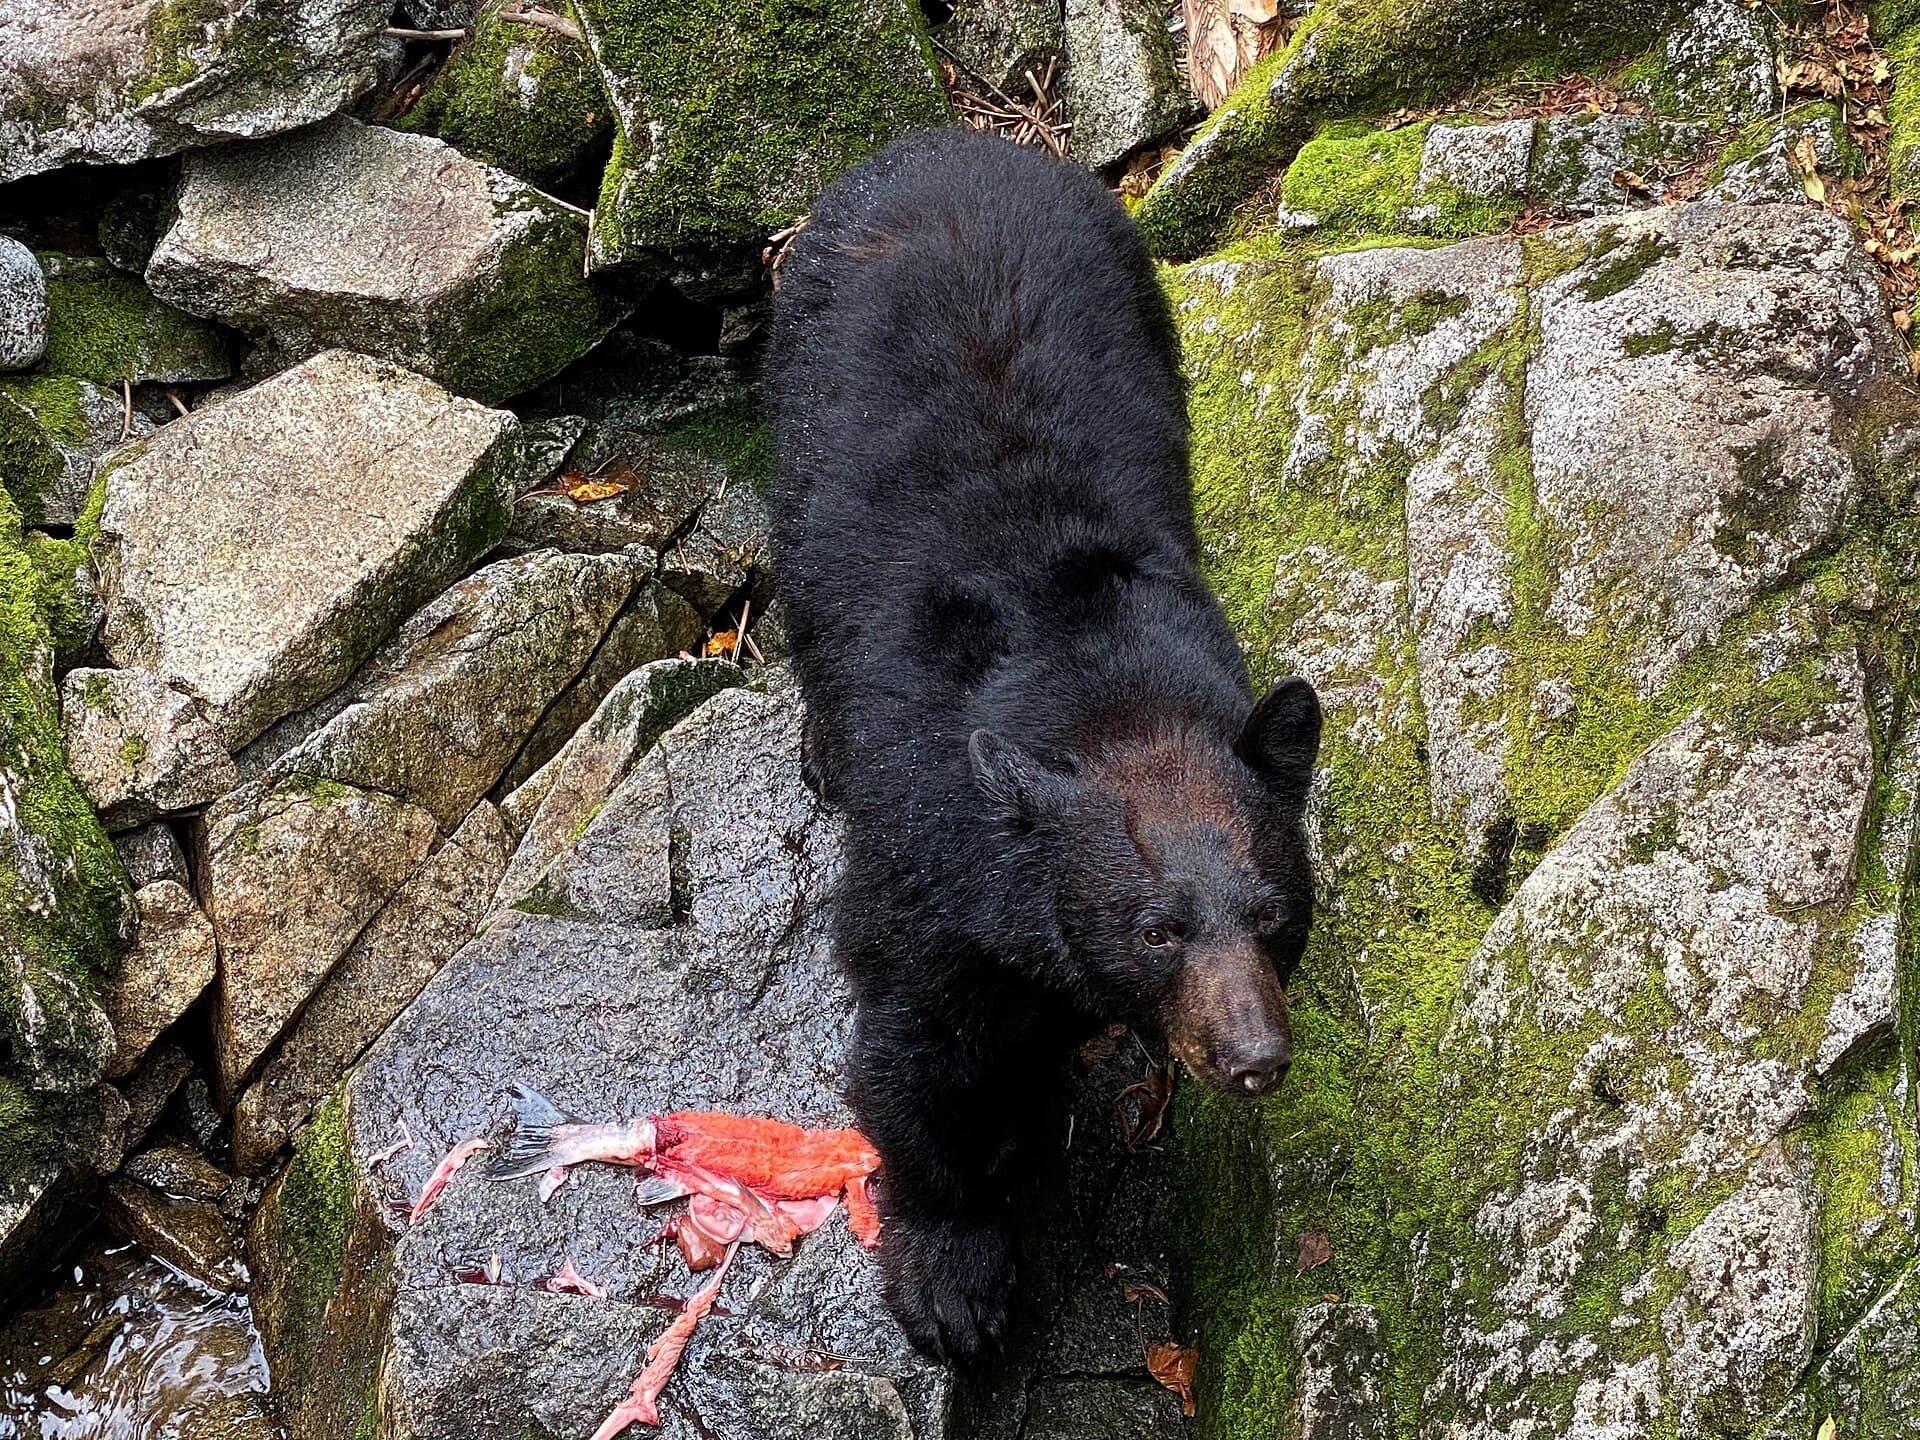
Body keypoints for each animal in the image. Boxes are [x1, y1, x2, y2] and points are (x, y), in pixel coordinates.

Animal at [764, 127, 1323, 1363]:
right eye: (1159, 928)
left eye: (1273, 914)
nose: (1255, 1060)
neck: (1101, 692)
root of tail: (946, 136)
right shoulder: (928, 847)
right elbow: (919, 1056)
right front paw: (952, 1275)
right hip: (801, 392)